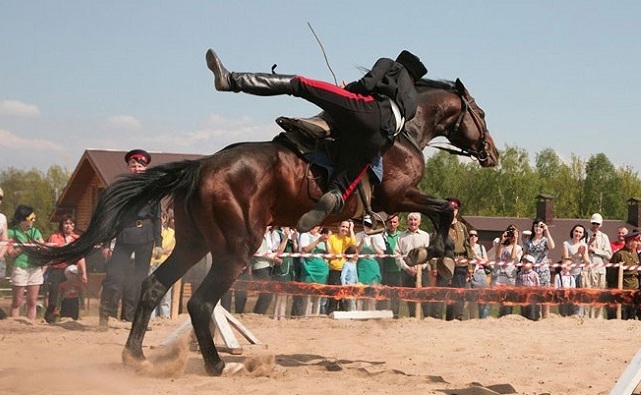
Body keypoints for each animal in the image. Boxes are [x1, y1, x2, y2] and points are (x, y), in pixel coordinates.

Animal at [25, 77, 498, 378]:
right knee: (200, 303)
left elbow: (445, 211)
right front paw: (432, 252)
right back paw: (219, 365)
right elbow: (445, 210)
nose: (491, 152)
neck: (404, 129)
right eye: (480, 112)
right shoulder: (398, 197)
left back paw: (136, 356)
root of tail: (199, 167)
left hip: (194, 245)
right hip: (236, 248)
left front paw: (433, 252)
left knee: (154, 286)